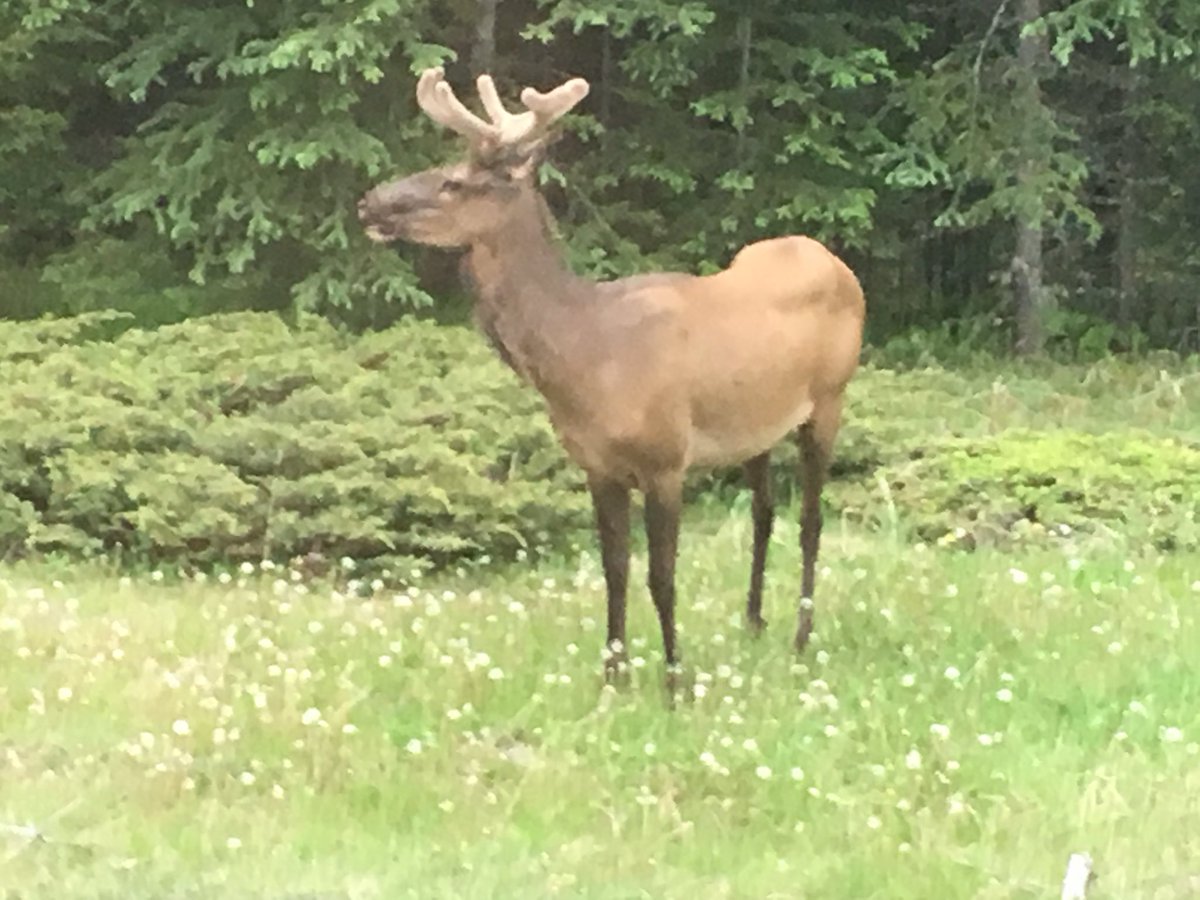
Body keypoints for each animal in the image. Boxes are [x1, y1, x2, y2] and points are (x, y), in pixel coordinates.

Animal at [357, 68, 866, 687]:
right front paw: (614, 677)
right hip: (756, 428)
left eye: (454, 182)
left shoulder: (666, 459)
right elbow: (615, 570)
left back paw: (800, 636)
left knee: (812, 519)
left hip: (830, 397)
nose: (368, 202)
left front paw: (674, 683)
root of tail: (837, 264)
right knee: (765, 512)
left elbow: (661, 577)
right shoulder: (597, 466)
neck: (587, 356)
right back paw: (753, 623)